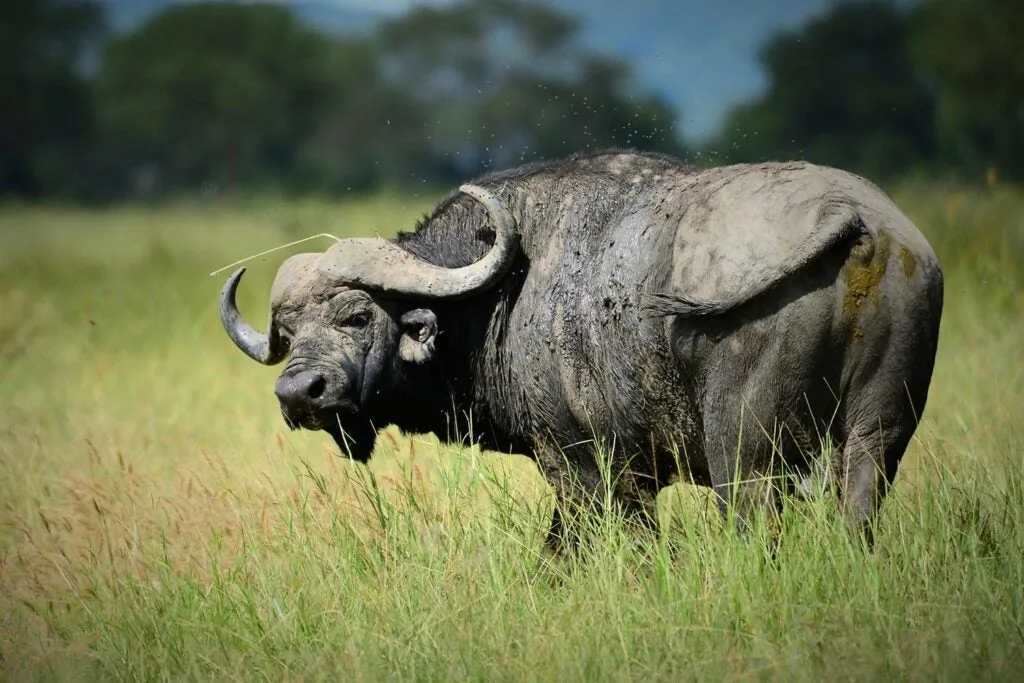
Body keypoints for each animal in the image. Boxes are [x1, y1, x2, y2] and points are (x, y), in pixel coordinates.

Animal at [222, 149, 942, 548]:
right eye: (288, 330)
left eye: (355, 315)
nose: (298, 393)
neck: (503, 292)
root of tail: (856, 217)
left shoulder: (586, 465)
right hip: (880, 431)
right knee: (861, 502)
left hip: (745, 447)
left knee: (751, 515)